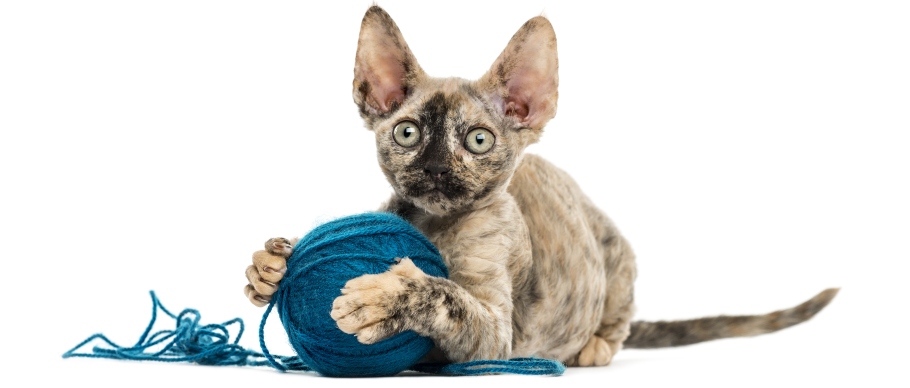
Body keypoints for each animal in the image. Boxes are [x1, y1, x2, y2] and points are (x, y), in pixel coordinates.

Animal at [244, 4, 840, 366]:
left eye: (478, 140)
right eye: (408, 133)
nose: (434, 168)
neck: (435, 223)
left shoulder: (497, 334)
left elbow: (446, 296)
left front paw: (389, 295)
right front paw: (272, 266)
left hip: (618, 258)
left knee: (621, 317)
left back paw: (594, 347)